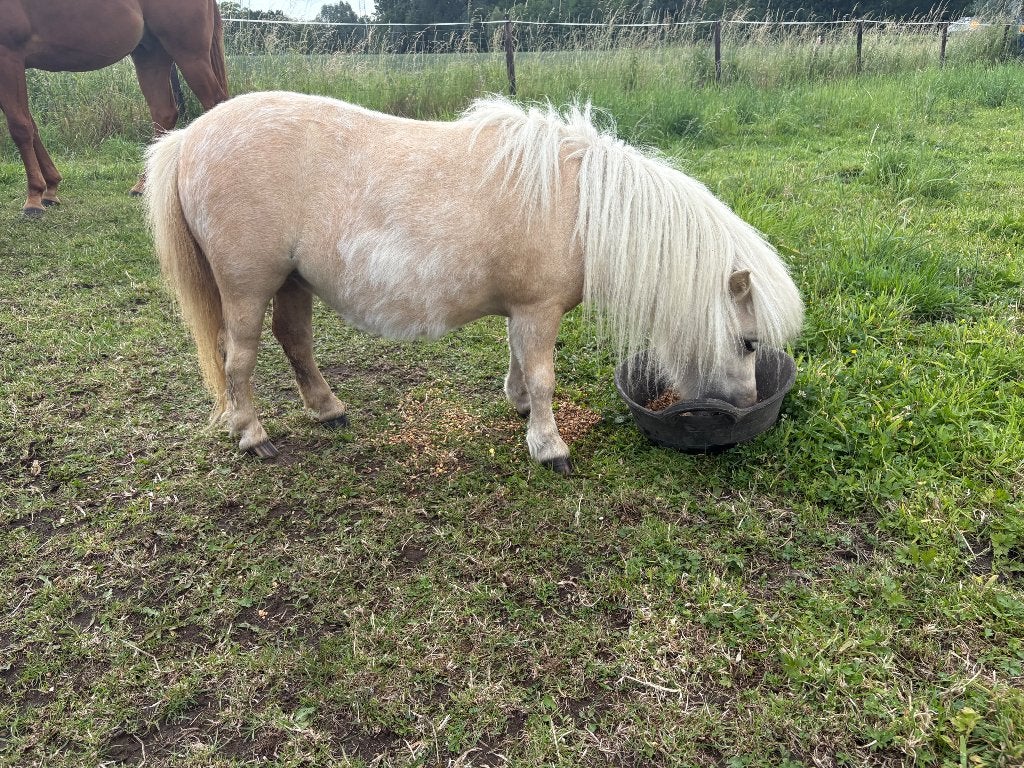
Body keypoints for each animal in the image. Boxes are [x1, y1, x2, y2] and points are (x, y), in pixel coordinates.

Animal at [0, 0, 229, 217]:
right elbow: (32, 127)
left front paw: (33, 199)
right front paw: (50, 187)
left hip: (189, 55)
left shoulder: (9, 59)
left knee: (214, 104)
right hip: (151, 55)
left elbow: (20, 128)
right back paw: (143, 184)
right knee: (164, 113)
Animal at [144, 92, 804, 475]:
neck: (579, 206)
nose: (746, 412)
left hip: (292, 281)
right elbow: (543, 374)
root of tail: (190, 137)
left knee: (295, 341)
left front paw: (521, 409)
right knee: (240, 359)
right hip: (248, 286)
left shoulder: (524, 310)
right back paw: (251, 435)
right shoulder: (539, 310)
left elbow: (521, 365)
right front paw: (549, 447)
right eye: (747, 343)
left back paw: (328, 410)